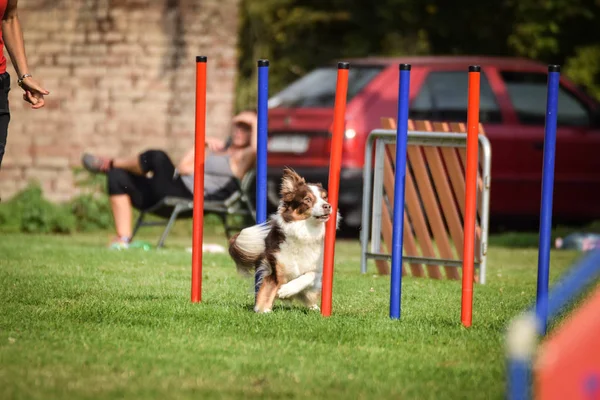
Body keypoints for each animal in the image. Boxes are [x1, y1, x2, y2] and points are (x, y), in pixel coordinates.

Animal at [227, 167, 340, 314]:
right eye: (307, 199)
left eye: (324, 197)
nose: (327, 206)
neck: (306, 231)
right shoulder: (275, 271)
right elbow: (266, 294)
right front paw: (263, 310)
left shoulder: (318, 270)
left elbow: (308, 275)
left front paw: (286, 290)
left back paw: (314, 308)